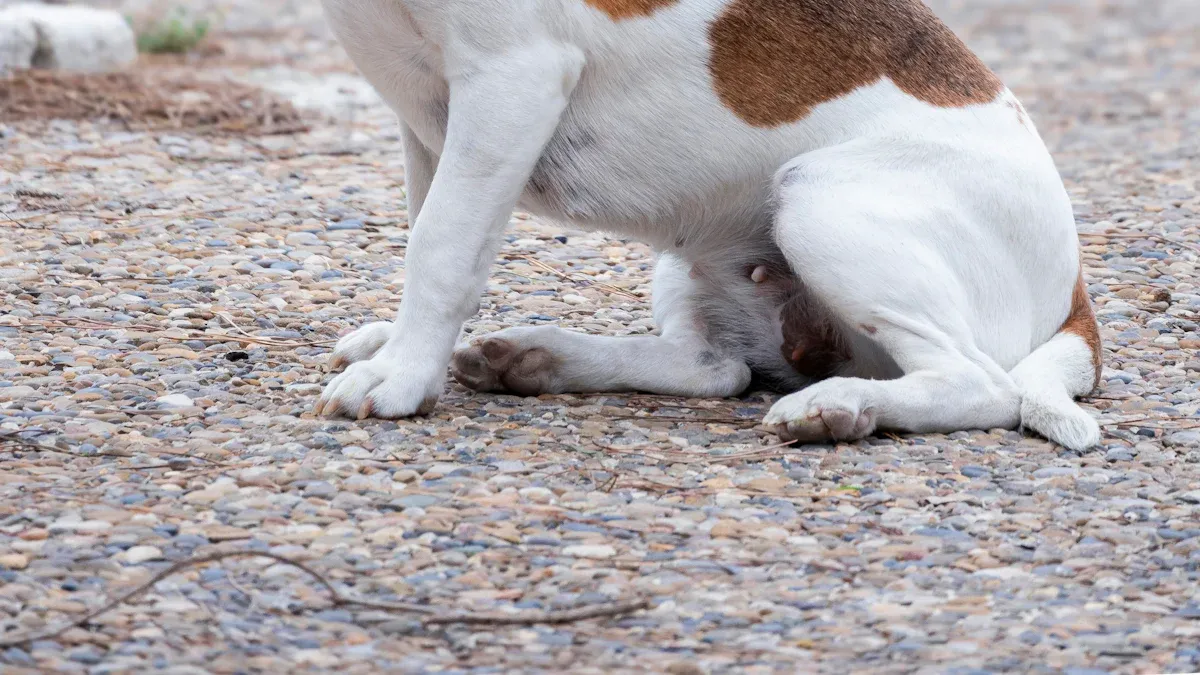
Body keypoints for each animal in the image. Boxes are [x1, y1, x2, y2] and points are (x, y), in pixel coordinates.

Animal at [312, 1, 1104, 451]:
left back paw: (840, 406)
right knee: (717, 368)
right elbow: (429, 223)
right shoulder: (430, 114)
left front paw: (401, 375)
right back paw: (541, 359)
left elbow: (442, 246)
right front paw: (406, 347)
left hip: (818, 199)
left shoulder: (510, 78)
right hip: (693, 259)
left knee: (980, 386)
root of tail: (1075, 294)